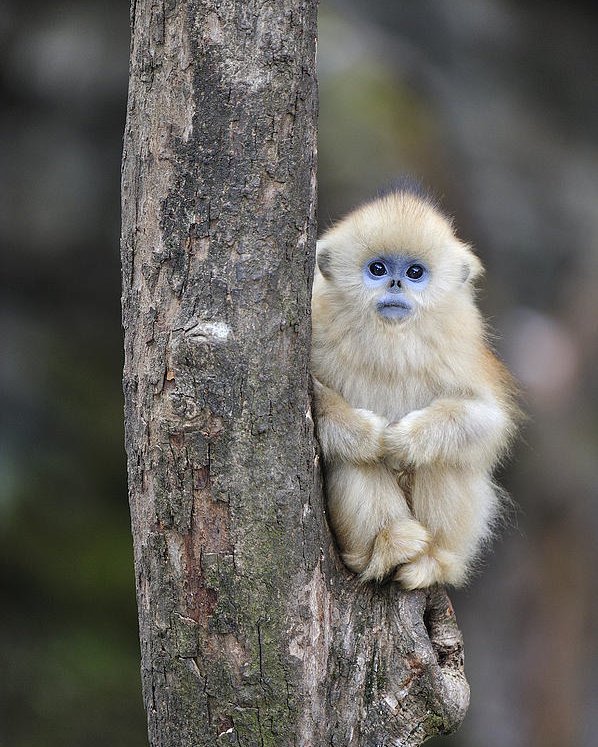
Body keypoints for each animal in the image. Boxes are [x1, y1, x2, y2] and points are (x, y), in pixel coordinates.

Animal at [311, 185, 518, 589]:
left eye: (415, 272)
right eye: (377, 269)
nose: (396, 283)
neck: (390, 338)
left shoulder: (460, 344)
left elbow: (487, 418)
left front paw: (402, 440)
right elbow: (317, 399)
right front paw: (372, 436)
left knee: (445, 459)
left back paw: (430, 562)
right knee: (353, 460)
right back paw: (389, 547)